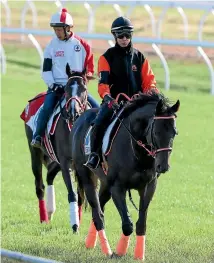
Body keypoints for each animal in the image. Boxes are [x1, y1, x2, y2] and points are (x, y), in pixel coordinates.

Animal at [20, 64, 97, 233]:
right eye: (67, 88)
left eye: (84, 88)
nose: (74, 112)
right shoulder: (66, 162)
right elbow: (72, 193)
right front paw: (75, 226)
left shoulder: (79, 164)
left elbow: (81, 194)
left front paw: (79, 222)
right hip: (35, 153)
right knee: (40, 186)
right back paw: (44, 218)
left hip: (55, 161)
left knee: (49, 175)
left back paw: (50, 212)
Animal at [70, 92, 179, 258]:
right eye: (156, 132)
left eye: (174, 132)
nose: (163, 166)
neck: (137, 153)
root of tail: (80, 118)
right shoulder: (117, 187)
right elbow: (128, 225)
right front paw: (119, 252)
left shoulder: (148, 187)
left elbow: (141, 224)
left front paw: (139, 256)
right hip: (88, 179)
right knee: (98, 215)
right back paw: (107, 250)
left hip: (105, 184)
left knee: (100, 209)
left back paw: (90, 243)